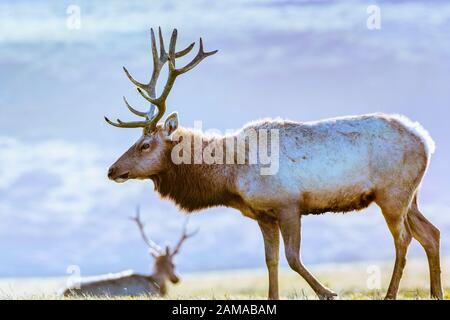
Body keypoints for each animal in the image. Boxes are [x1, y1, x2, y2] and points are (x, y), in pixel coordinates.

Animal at [104, 27, 442, 300]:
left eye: (145, 145)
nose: (112, 170)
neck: (230, 176)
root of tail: (426, 140)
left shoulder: (288, 203)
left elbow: (293, 258)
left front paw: (329, 292)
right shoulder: (263, 214)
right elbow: (271, 261)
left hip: (393, 193)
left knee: (404, 239)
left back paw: (391, 294)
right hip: (410, 195)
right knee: (431, 233)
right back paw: (436, 292)